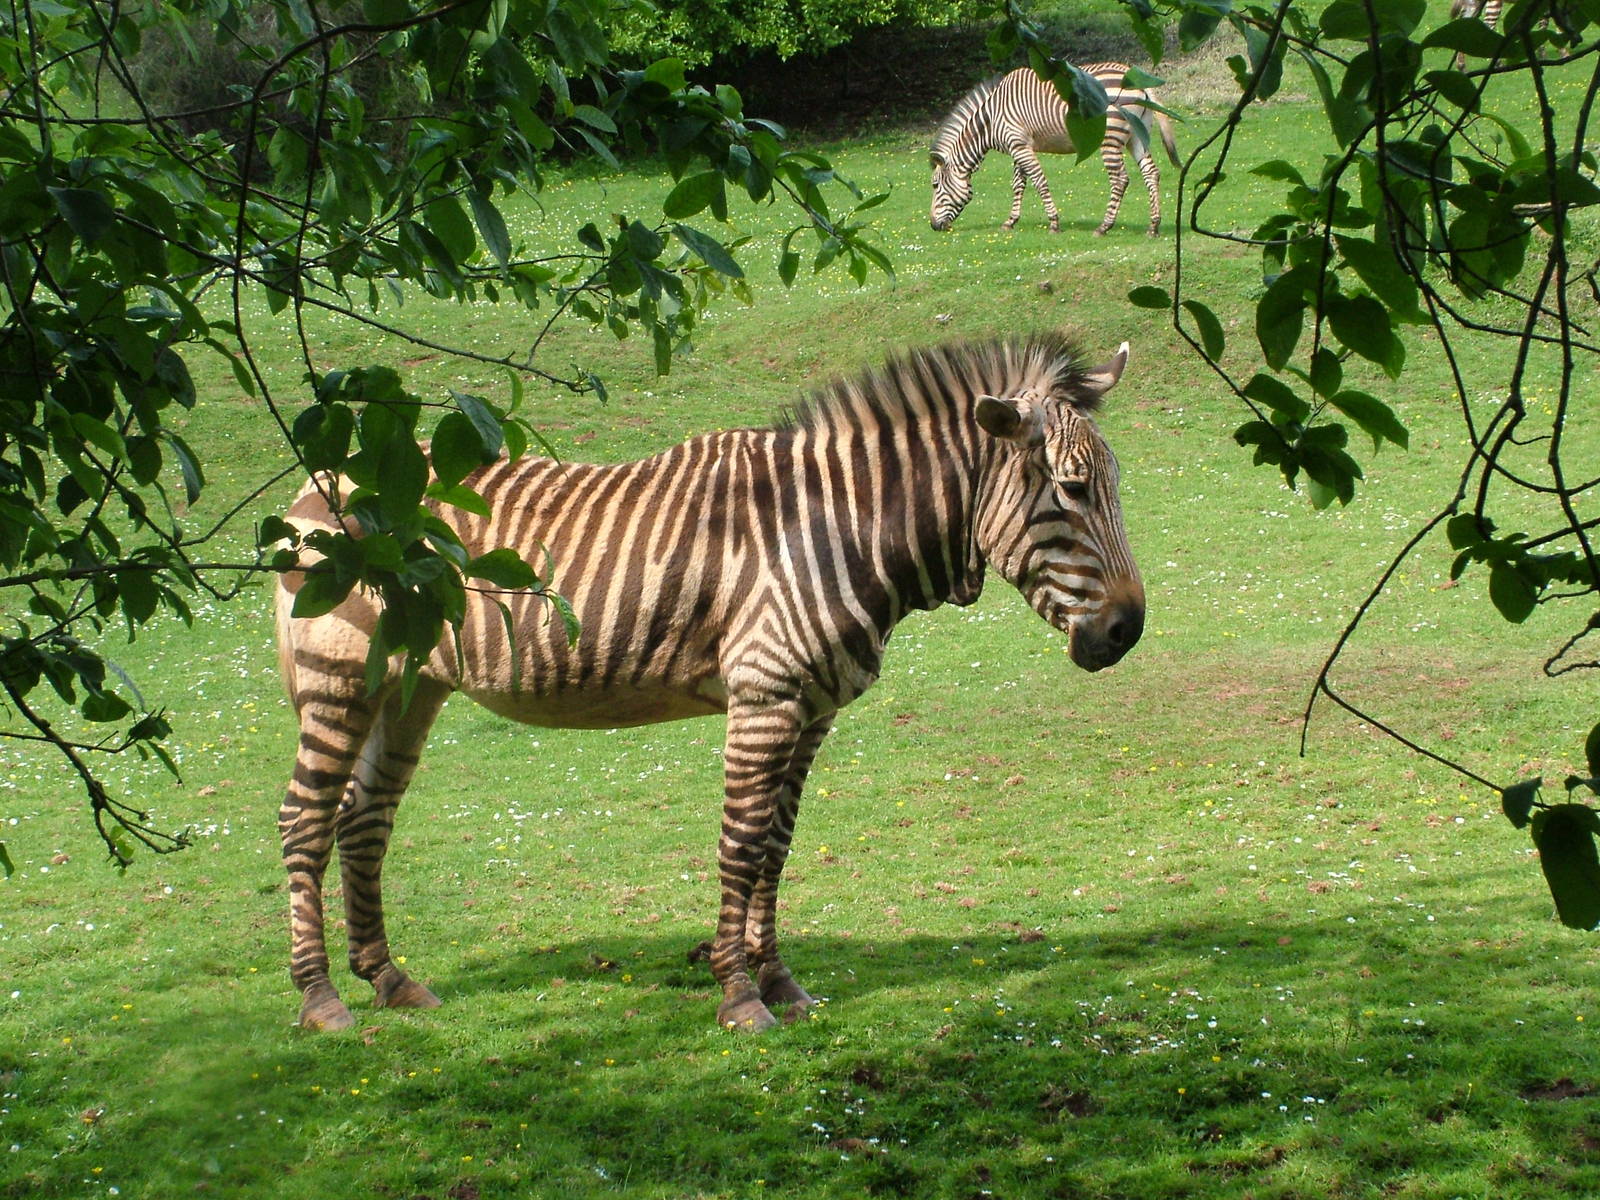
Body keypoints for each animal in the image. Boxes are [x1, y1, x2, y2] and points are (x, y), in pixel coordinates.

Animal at [274, 331, 1146, 1033]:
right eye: (1072, 489)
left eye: (1113, 484)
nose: (1127, 631)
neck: (835, 527)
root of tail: (323, 480)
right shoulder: (764, 697)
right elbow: (742, 844)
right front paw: (739, 996)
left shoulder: (811, 709)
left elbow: (779, 848)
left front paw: (782, 982)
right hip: (340, 679)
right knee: (305, 821)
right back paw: (321, 1000)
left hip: (410, 686)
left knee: (364, 818)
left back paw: (391, 981)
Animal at [930, 63, 1180, 237]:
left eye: (934, 185)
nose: (933, 225)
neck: (990, 120)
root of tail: (1139, 81)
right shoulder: (1019, 147)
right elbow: (1018, 184)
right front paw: (1010, 221)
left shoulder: (1019, 145)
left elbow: (1039, 181)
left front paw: (1053, 223)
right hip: (1136, 137)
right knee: (1151, 173)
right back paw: (1153, 226)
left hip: (1111, 136)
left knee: (1120, 179)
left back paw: (1104, 227)